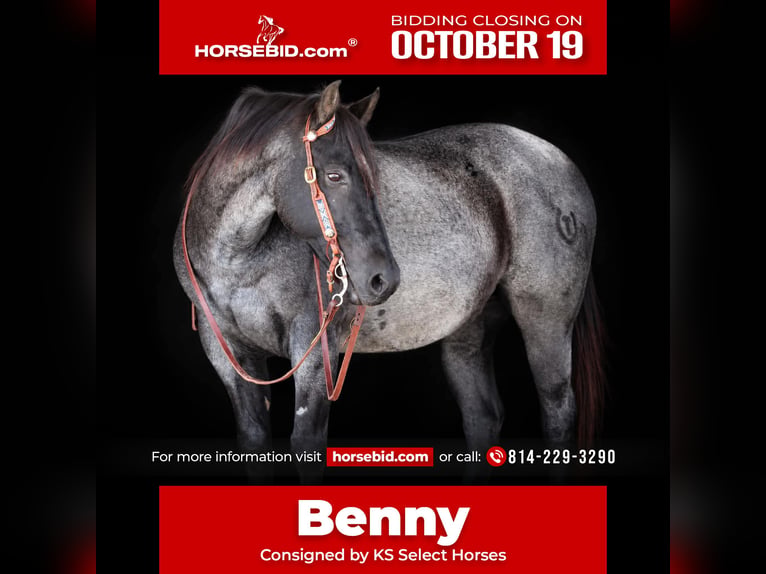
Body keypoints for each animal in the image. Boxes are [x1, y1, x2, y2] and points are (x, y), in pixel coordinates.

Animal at [173, 81, 606, 480]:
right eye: (334, 175)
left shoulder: (313, 345)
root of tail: (557, 158)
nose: (383, 279)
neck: (237, 259)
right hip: (469, 330)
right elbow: (254, 441)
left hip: (546, 322)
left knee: (557, 412)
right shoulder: (227, 352)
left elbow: (306, 442)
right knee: (483, 417)